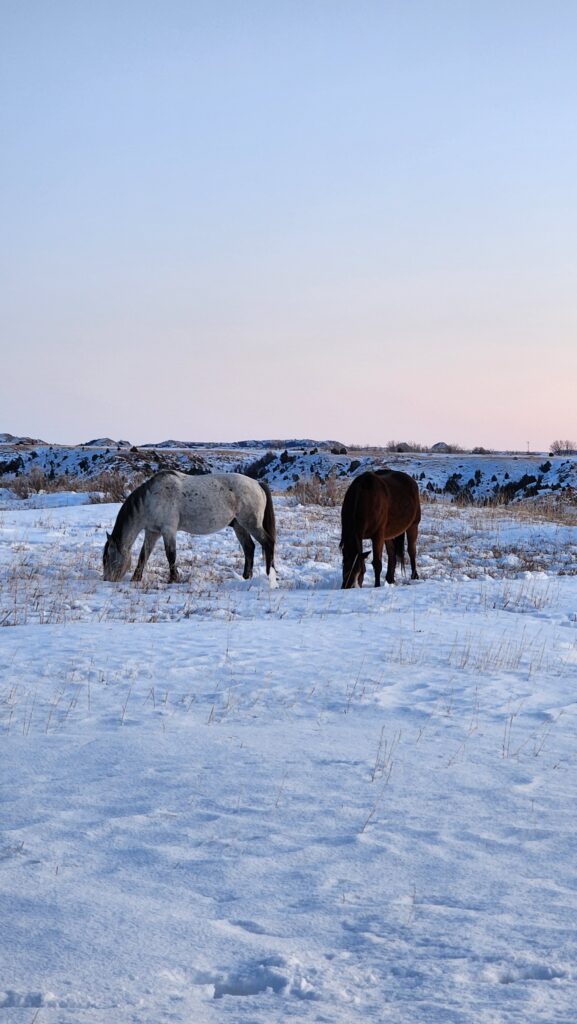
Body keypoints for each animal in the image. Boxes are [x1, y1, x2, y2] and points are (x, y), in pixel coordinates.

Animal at [102, 471, 276, 585]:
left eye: (108, 558)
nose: (107, 580)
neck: (151, 499)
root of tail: (257, 484)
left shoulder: (168, 530)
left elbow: (170, 555)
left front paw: (173, 579)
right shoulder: (152, 532)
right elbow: (144, 555)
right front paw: (136, 579)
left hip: (251, 524)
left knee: (268, 543)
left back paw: (270, 575)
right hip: (239, 526)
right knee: (249, 548)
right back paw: (246, 577)